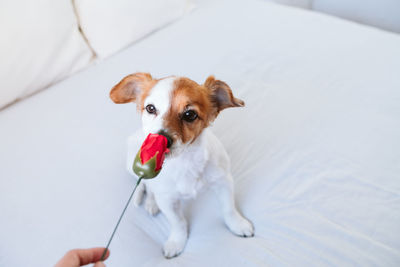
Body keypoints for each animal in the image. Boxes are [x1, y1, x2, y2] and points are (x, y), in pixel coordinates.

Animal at [109, 73, 253, 260]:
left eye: (190, 114)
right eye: (150, 108)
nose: (162, 138)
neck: (184, 162)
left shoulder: (223, 182)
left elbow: (228, 208)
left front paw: (237, 224)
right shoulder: (167, 200)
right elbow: (178, 222)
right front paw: (177, 241)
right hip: (132, 165)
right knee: (145, 185)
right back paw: (151, 202)